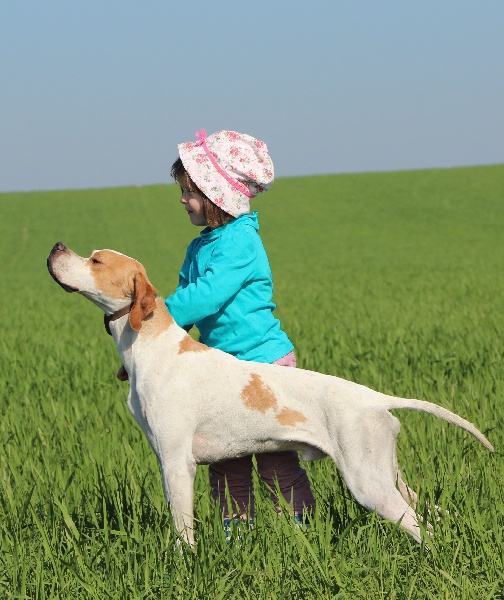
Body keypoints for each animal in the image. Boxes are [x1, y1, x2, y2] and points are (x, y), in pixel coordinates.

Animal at [45, 241, 494, 548]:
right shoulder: (166, 460)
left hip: (369, 483)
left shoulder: (176, 463)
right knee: (426, 518)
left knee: (420, 529)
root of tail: (375, 397)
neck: (151, 346)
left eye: (96, 260)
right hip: (389, 475)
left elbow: (183, 531)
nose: (56, 247)